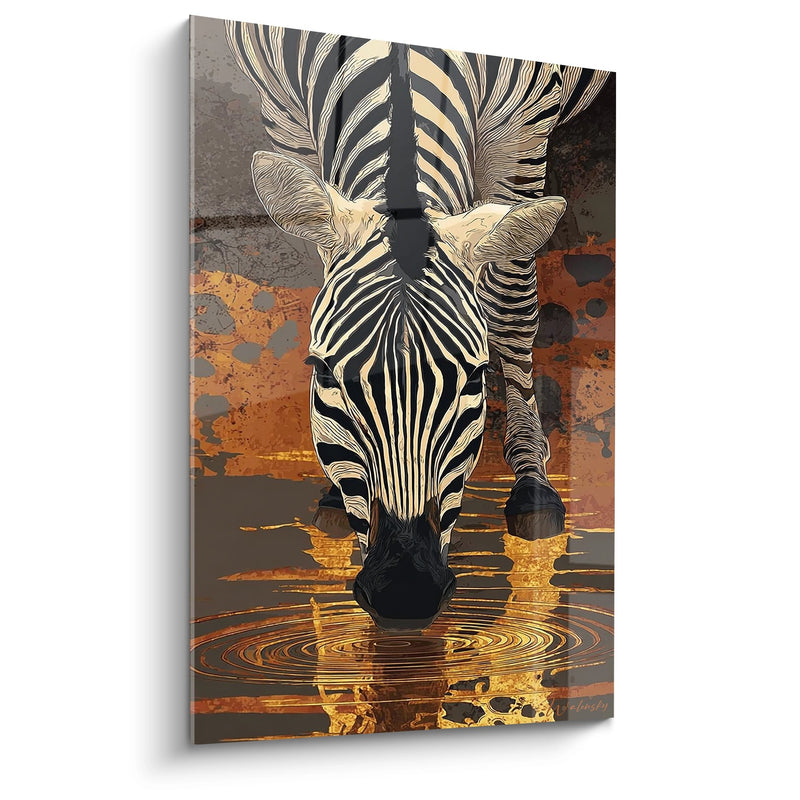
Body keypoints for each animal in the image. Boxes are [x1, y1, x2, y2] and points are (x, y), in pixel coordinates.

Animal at [226, 22, 609, 629]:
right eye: (323, 374)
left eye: (474, 378)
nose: (404, 592)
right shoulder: (282, 114)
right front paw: (331, 495)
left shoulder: (522, 132)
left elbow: (510, 306)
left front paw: (532, 480)